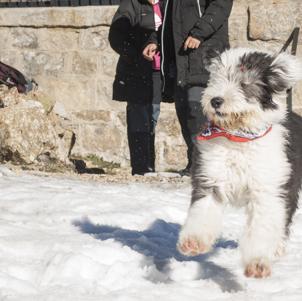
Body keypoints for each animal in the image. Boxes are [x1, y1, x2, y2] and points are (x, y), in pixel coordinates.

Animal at [177, 48, 302, 278]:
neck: (238, 137)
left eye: (244, 83)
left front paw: (258, 262)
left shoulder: (267, 188)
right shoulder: (211, 177)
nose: (216, 101)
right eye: (216, 79)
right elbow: (203, 211)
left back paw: (277, 248)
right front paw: (193, 242)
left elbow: (262, 227)